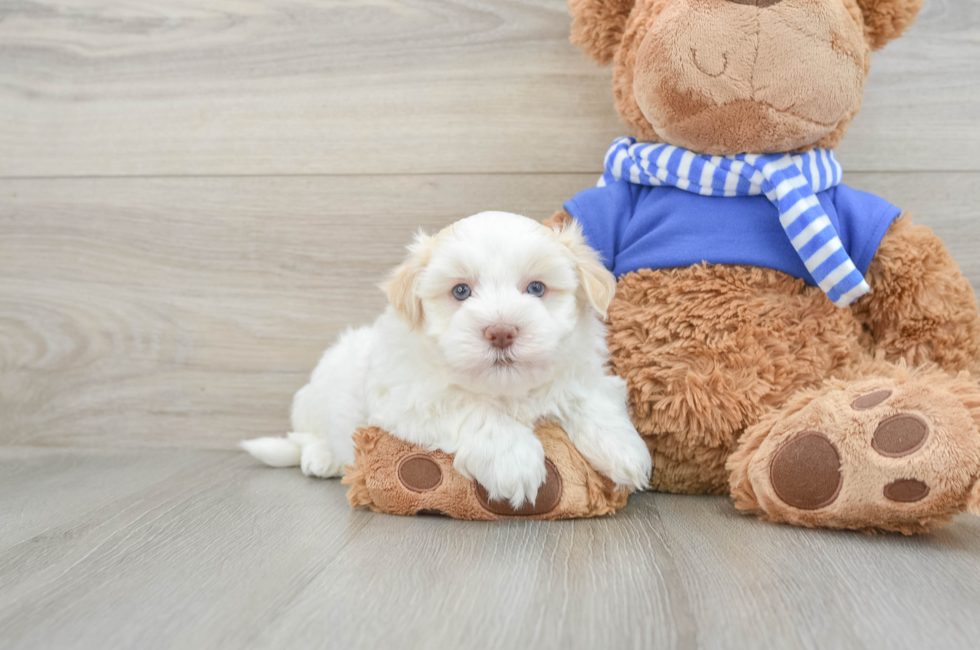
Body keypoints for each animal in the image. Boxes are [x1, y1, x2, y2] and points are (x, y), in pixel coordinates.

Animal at [241, 210, 652, 504]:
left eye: (536, 288)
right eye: (460, 291)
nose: (501, 331)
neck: (507, 391)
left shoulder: (582, 372)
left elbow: (589, 397)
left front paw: (625, 450)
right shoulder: (407, 398)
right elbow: (470, 406)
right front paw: (513, 460)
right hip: (314, 396)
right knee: (306, 435)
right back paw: (321, 457)